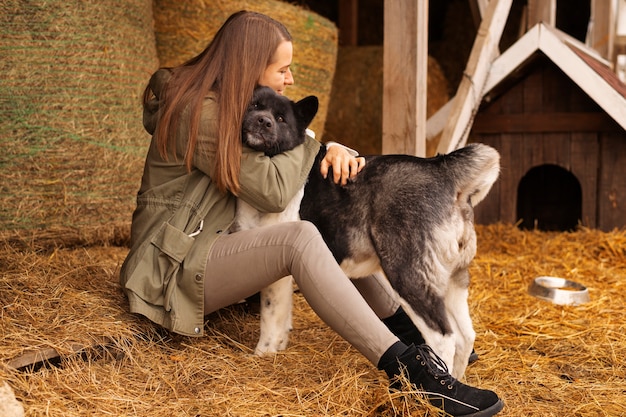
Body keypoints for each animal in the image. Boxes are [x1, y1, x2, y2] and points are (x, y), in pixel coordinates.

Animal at [234, 85, 498, 376]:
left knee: (444, 339)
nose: (263, 121)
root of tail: (441, 170)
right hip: (453, 279)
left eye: (281, 119)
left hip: (408, 275)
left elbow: (271, 316)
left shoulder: (277, 270)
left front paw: (263, 354)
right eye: (254, 105)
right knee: (465, 336)